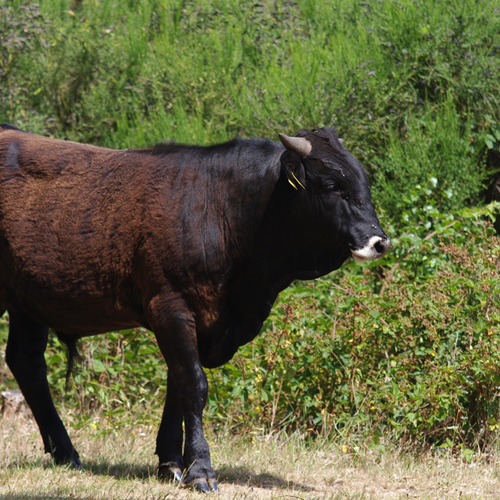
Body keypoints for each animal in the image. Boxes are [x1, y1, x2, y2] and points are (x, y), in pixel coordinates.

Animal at [0, 125, 390, 492]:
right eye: (332, 185)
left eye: (363, 181)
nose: (379, 242)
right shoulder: (170, 305)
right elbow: (193, 383)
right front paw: (200, 469)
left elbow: (177, 385)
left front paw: (171, 462)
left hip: (27, 303)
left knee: (27, 364)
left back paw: (65, 452)